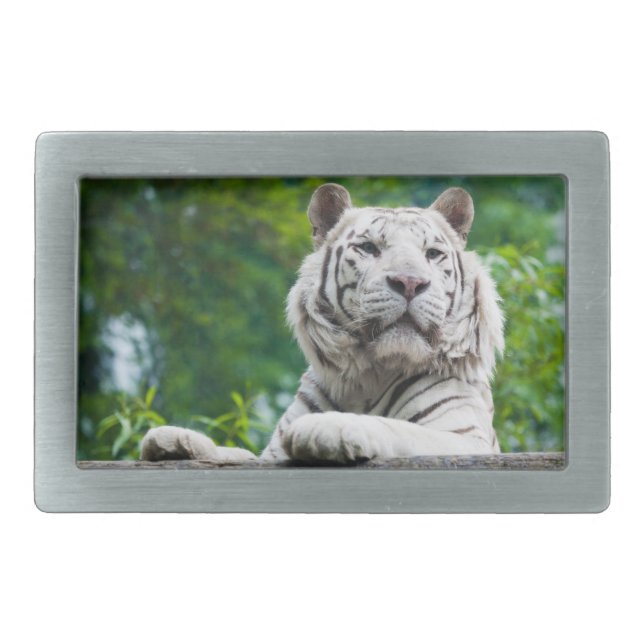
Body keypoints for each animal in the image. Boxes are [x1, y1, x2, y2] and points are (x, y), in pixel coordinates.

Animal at [140, 183, 504, 464]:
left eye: (432, 254)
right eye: (369, 248)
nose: (410, 282)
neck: (369, 376)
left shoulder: (464, 438)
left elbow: (398, 428)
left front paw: (328, 427)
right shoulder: (270, 455)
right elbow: (238, 454)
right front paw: (174, 440)